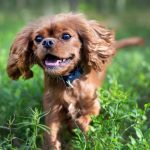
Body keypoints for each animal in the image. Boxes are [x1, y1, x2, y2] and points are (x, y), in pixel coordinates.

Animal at [6, 13, 144, 150]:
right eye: (38, 38)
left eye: (66, 36)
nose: (47, 42)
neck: (68, 80)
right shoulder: (52, 109)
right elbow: (51, 134)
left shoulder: (92, 105)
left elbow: (84, 122)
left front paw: (80, 134)